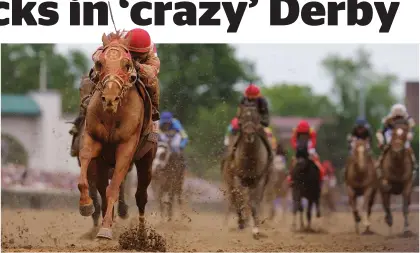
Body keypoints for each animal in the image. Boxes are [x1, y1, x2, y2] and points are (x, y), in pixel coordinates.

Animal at [76, 32, 157, 240]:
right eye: (99, 63)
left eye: (127, 64)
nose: (110, 98)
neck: (113, 115)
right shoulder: (92, 138)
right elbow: (85, 165)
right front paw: (85, 205)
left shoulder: (126, 148)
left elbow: (114, 188)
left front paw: (105, 230)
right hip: (104, 163)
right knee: (102, 187)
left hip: (147, 159)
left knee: (141, 196)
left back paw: (141, 234)